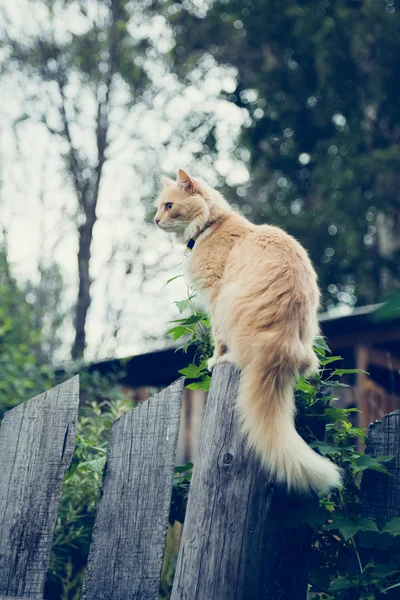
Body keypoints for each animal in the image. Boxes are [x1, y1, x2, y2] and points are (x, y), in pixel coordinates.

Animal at [155, 168, 342, 492]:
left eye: (169, 206)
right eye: (159, 207)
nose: (155, 220)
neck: (210, 225)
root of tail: (282, 348)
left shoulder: (215, 293)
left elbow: (217, 339)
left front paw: (216, 358)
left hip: (230, 302)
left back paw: (226, 360)